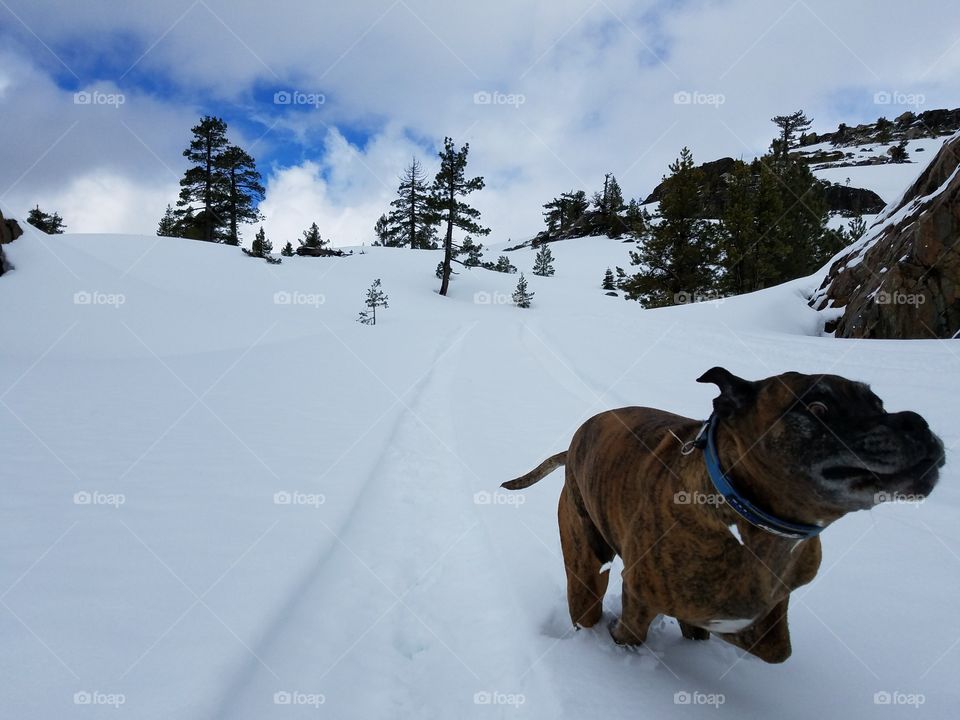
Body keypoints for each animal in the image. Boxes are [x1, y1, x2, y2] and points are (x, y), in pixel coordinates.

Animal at [502, 368, 944, 660]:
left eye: (878, 403)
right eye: (818, 407)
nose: (917, 422)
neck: (750, 518)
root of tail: (577, 438)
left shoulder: (770, 606)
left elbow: (774, 646)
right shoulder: (641, 592)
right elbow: (632, 632)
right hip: (584, 559)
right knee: (587, 599)